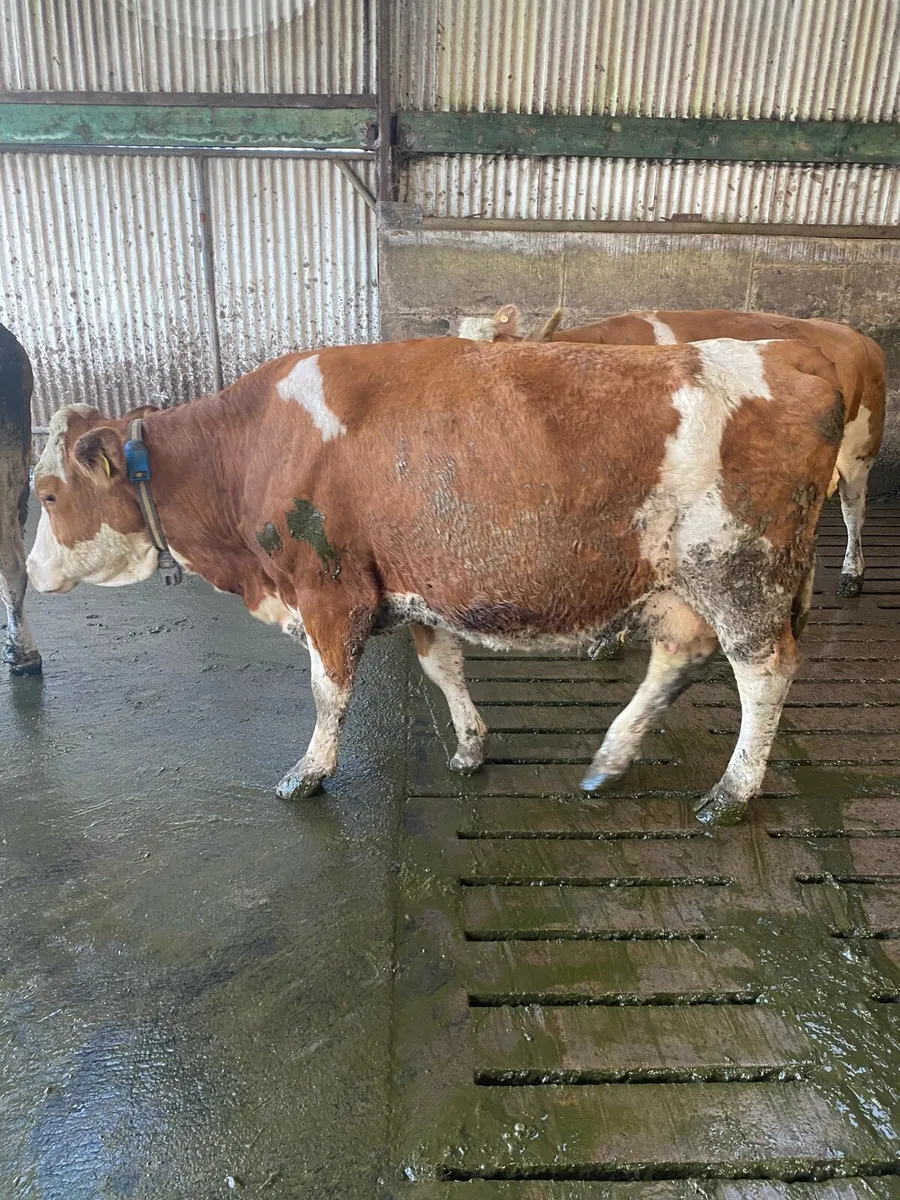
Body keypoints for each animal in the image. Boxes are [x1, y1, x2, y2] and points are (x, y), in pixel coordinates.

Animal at [26, 335, 842, 826]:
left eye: (47, 494)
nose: (30, 570)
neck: (251, 446)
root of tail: (790, 351)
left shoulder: (329, 591)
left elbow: (327, 693)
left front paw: (308, 773)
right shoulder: (417, 584)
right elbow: (441, 664)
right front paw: (472, 747)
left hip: (740, 573)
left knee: (764, 675)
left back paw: (730, 793)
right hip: (680, 582)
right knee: (677, 657)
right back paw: (611, 757)